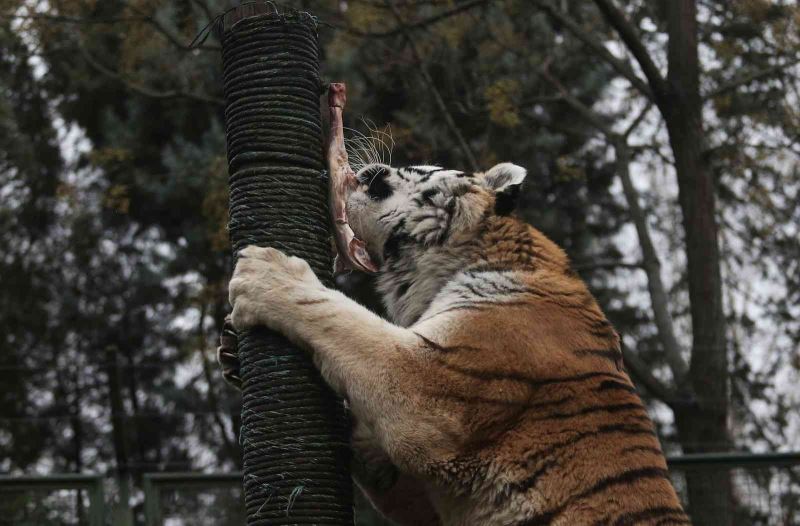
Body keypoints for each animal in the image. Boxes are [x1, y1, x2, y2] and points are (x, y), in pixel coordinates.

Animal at [217, 163, 688, 524]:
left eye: (416, 169)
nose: (368, 172)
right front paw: (230, 353)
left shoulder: (429, 390)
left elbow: (344, 319)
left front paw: (265, 273)